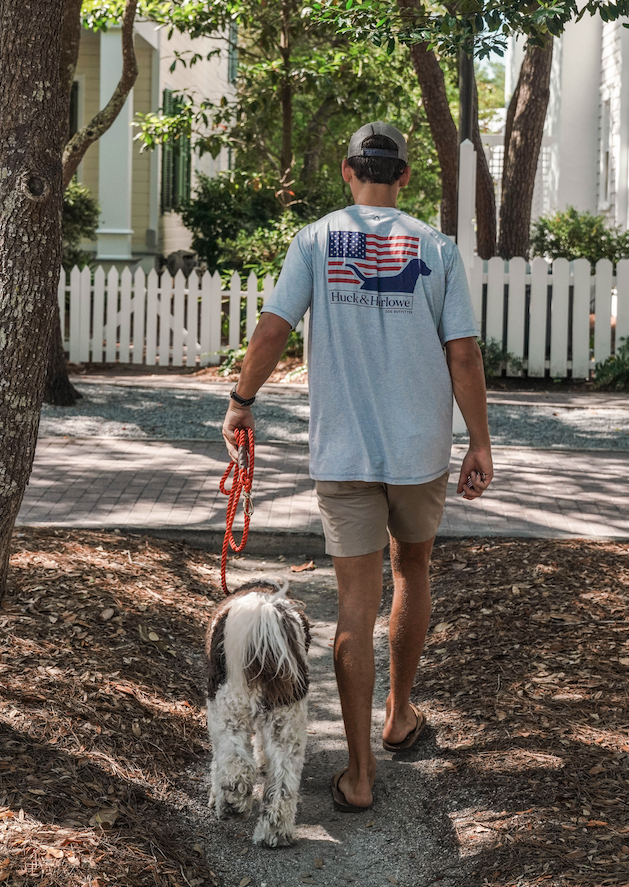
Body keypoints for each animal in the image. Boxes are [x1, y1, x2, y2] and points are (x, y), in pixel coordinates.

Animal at [205, 580, 310, 848]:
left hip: (228, 707)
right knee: (284, 776)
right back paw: (275, 833)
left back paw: (231, 804)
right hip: (287, 716)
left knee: (237, 762)